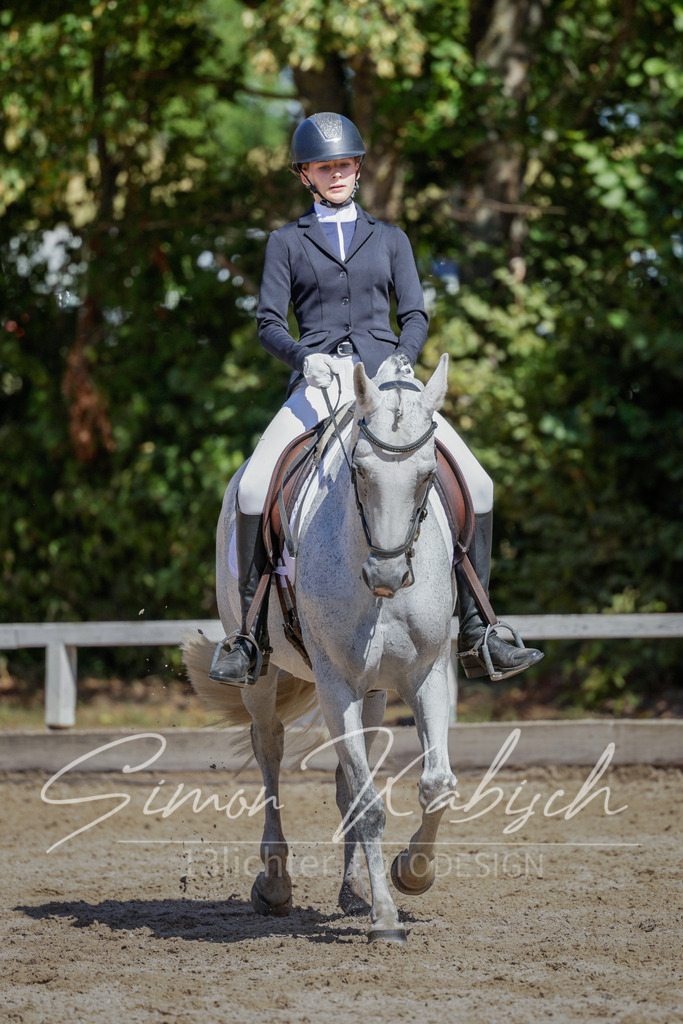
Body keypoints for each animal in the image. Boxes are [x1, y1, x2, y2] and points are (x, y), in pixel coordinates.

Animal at [184, 352, 459, 944]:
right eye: (359, 471)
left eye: (429, 476)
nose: (387, 575)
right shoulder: (336, 684)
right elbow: (369, 804)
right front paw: (386, 918)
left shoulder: (425, 677)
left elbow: (435, 785)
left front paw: (411, 874)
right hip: (265, 677)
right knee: (269, 750)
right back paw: (276, 885)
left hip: (374, 692)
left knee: (348, 778)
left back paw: (353, 891)